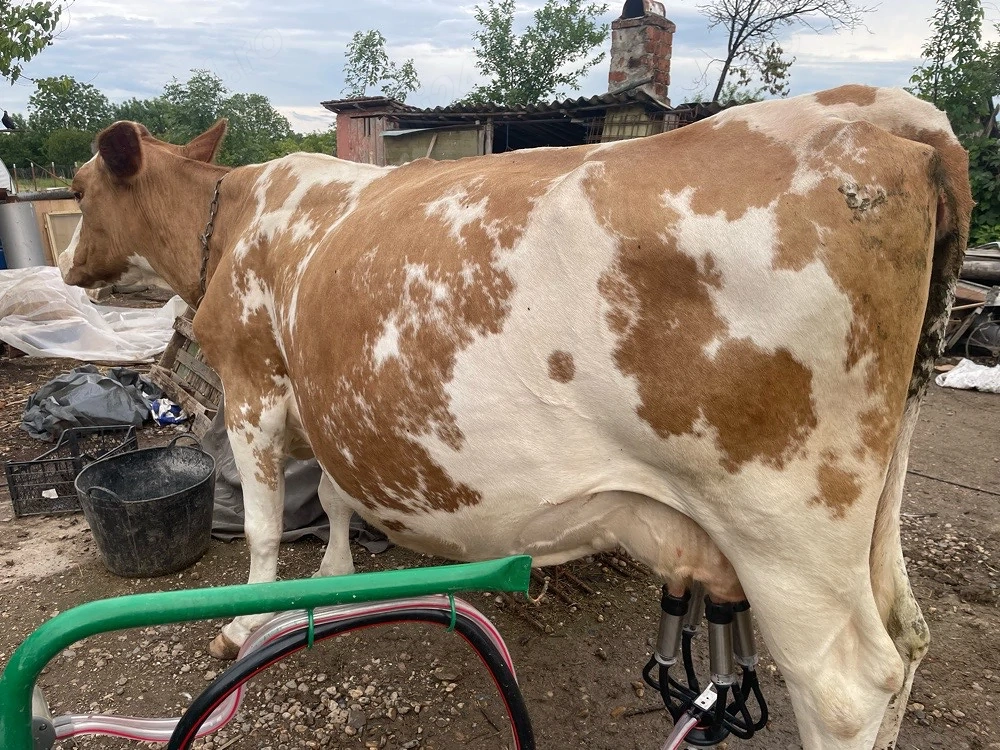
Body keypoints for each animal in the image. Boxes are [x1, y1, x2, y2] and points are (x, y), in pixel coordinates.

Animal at [61, 84, 971, 750]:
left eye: (76, 189)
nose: (66, 262)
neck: (235, 220)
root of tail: (886, 116)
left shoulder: (253, 379)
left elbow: (260, 525)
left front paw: (245, 624)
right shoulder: (330, 390)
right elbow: (332, 495)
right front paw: (335, 577)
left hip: (785, 523)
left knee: (845, 688)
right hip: (869, 507)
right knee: (907, 636)